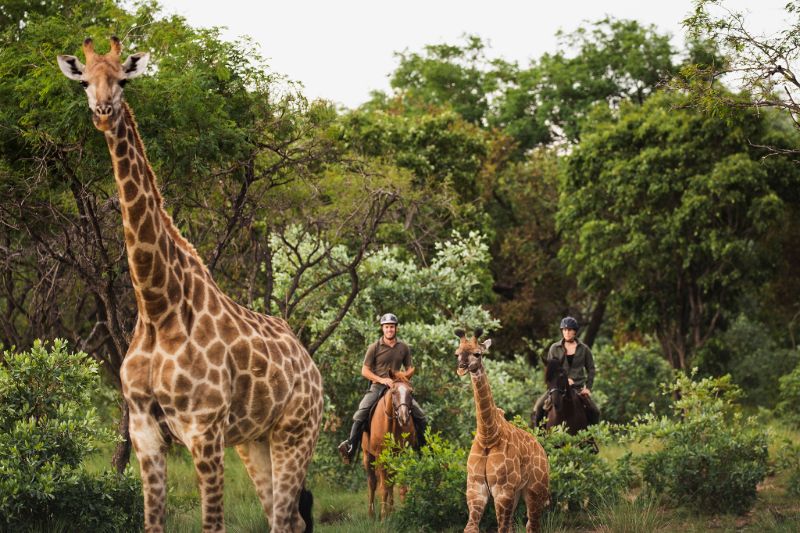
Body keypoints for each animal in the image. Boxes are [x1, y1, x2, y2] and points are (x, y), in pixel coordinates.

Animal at [57, 37, 323, 533]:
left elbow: (213, 524)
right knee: (289, 519)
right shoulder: (144, 432)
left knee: (285, 518)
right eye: (84, 80)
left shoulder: (204, 430)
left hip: (296, 431)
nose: (103, 111)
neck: (157, 305)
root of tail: (309, 364)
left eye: (123, 79)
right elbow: (152, 522)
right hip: (253, 441)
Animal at [361, 370, 417, 519]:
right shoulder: (381, 457)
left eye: (411, 392)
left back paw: (391, 511)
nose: (404, 418)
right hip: (367, 456)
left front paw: (404, 513)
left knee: (390, 481)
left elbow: (401, 487)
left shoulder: (403, 455)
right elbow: (383, 488)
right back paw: (371, 514)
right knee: (372, 483)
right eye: (393, 391)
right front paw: (383, 517)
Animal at [455, 328, 549, 533]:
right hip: (517, 492)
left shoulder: (502, 489)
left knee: (533, 524)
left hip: (535, 489)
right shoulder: (476, 487)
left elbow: (502, 528)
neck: (488, 435)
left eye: (478, 354)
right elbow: (471, 527)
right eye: (457, 353)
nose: (461, 367)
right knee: (519, 523)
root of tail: (542, 449)